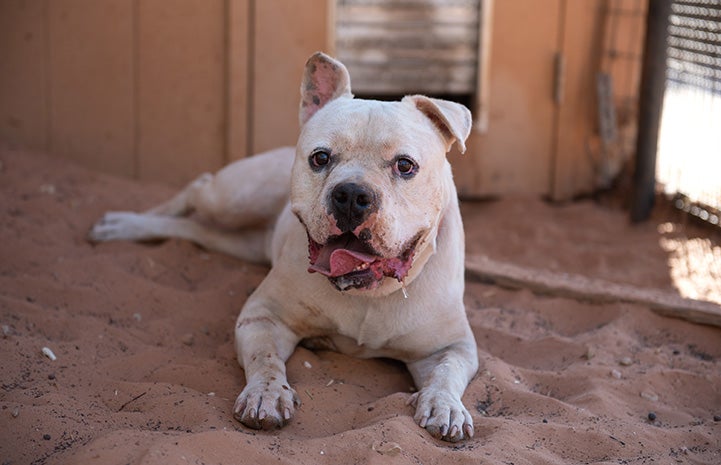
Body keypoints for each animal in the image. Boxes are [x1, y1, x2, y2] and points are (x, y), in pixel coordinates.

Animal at [93, 52, 480, 440]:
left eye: (405, 165)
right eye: (320, 158)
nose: (352, 194)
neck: (368, 295)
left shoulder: (454, 346)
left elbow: (447, 372)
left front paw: (445, 406)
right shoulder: (262, 315)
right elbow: (265, 358)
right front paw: (266, 395)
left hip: (239, 240)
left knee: (195, 228)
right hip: (232, 198)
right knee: (197, 188)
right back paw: (124, 223)